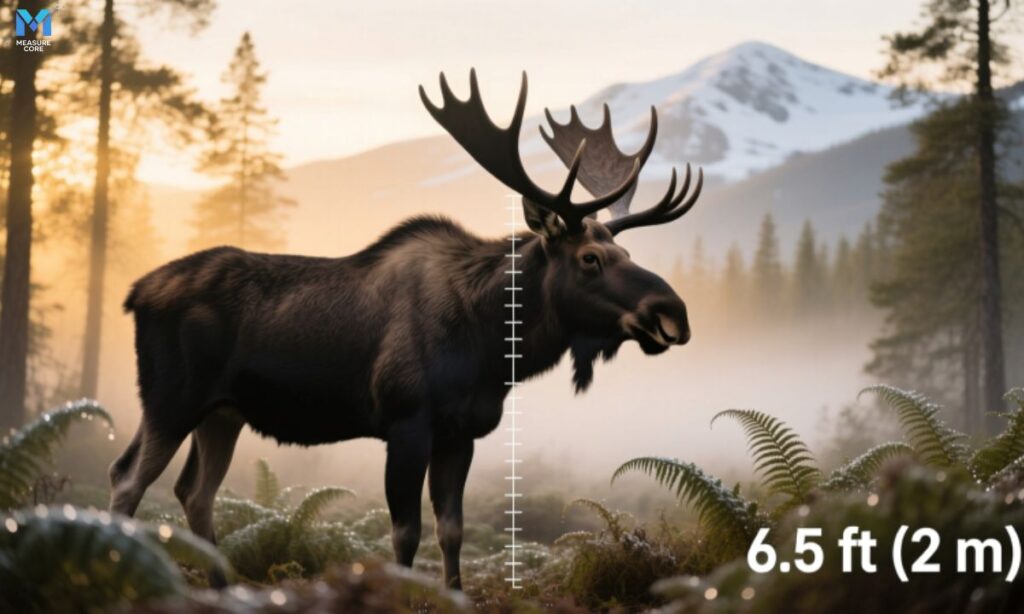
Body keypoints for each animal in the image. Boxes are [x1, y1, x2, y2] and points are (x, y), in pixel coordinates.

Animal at [109, 70, 703, 590]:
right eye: (590, 259)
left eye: (627, 253)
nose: (673, 312)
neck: (491, 349)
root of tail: (134, 293)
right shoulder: (406, 420)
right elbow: (405, 533)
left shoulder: (461, 432)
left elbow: (451, 531)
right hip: (172, 397)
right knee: (127, 477)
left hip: (223, 411)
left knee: (194, 491)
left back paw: (218, 587)